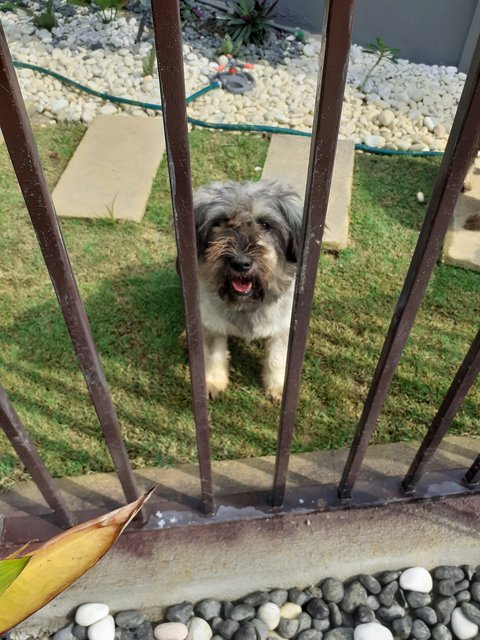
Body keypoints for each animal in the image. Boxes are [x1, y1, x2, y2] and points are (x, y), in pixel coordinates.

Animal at [192, 180, 302, 400]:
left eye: (265, 224)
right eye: (220, 222)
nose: (241, 263)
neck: (247, 304)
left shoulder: (283, 326)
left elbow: (277, 357)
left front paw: (278, 386)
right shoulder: (212, 323)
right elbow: (213, 353)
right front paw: (213, 381)